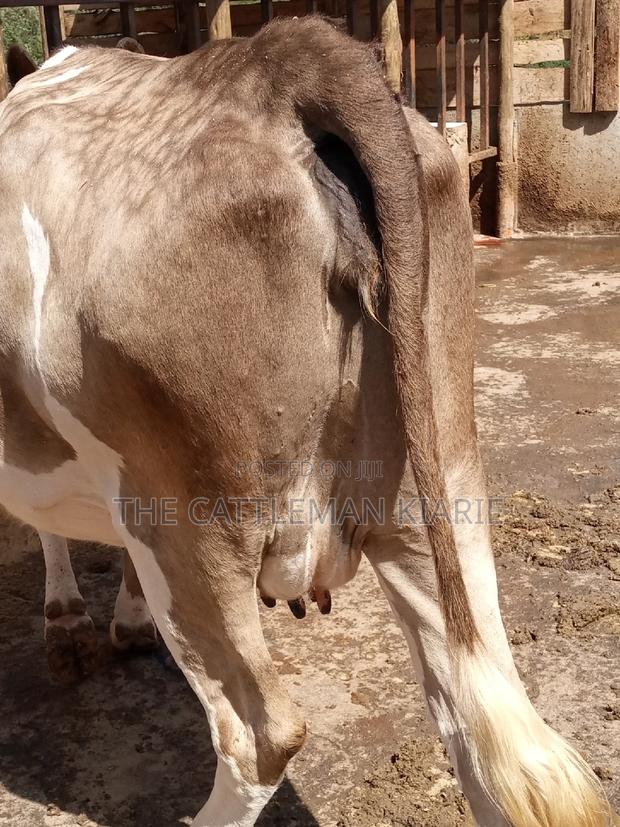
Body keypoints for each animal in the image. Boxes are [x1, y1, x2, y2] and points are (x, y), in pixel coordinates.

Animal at [0, 17, 613, 827]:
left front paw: (72, 619)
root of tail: (283, 62)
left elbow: (45, 526)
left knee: (260, 734)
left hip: (181, 518)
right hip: (438, 477)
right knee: (490, 721)